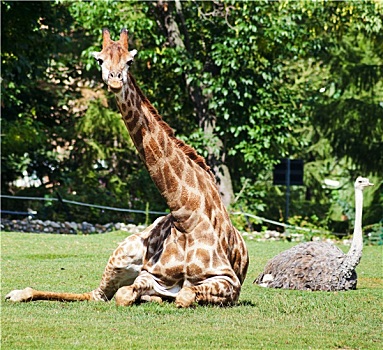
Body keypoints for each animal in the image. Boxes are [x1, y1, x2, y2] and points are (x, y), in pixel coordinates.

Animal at [6, 28, 252, 306]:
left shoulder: (228, 280)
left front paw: (158, 299)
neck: (184, 214)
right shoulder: (152, 275)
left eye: (130, 61)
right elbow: (126, 294)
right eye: (100, 60)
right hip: (121, 254)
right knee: (97, 295)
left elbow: (184, 294)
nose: (115, 80)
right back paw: (18, 293)